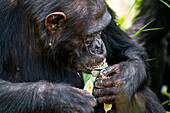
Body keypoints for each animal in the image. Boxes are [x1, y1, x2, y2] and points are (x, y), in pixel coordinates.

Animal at [0, 0, 165, 113]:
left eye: (102, 30)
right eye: (90, 35)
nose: (99, 46)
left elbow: (125, 49)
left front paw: (123, 79)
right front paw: (64, 99)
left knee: (140, 94)